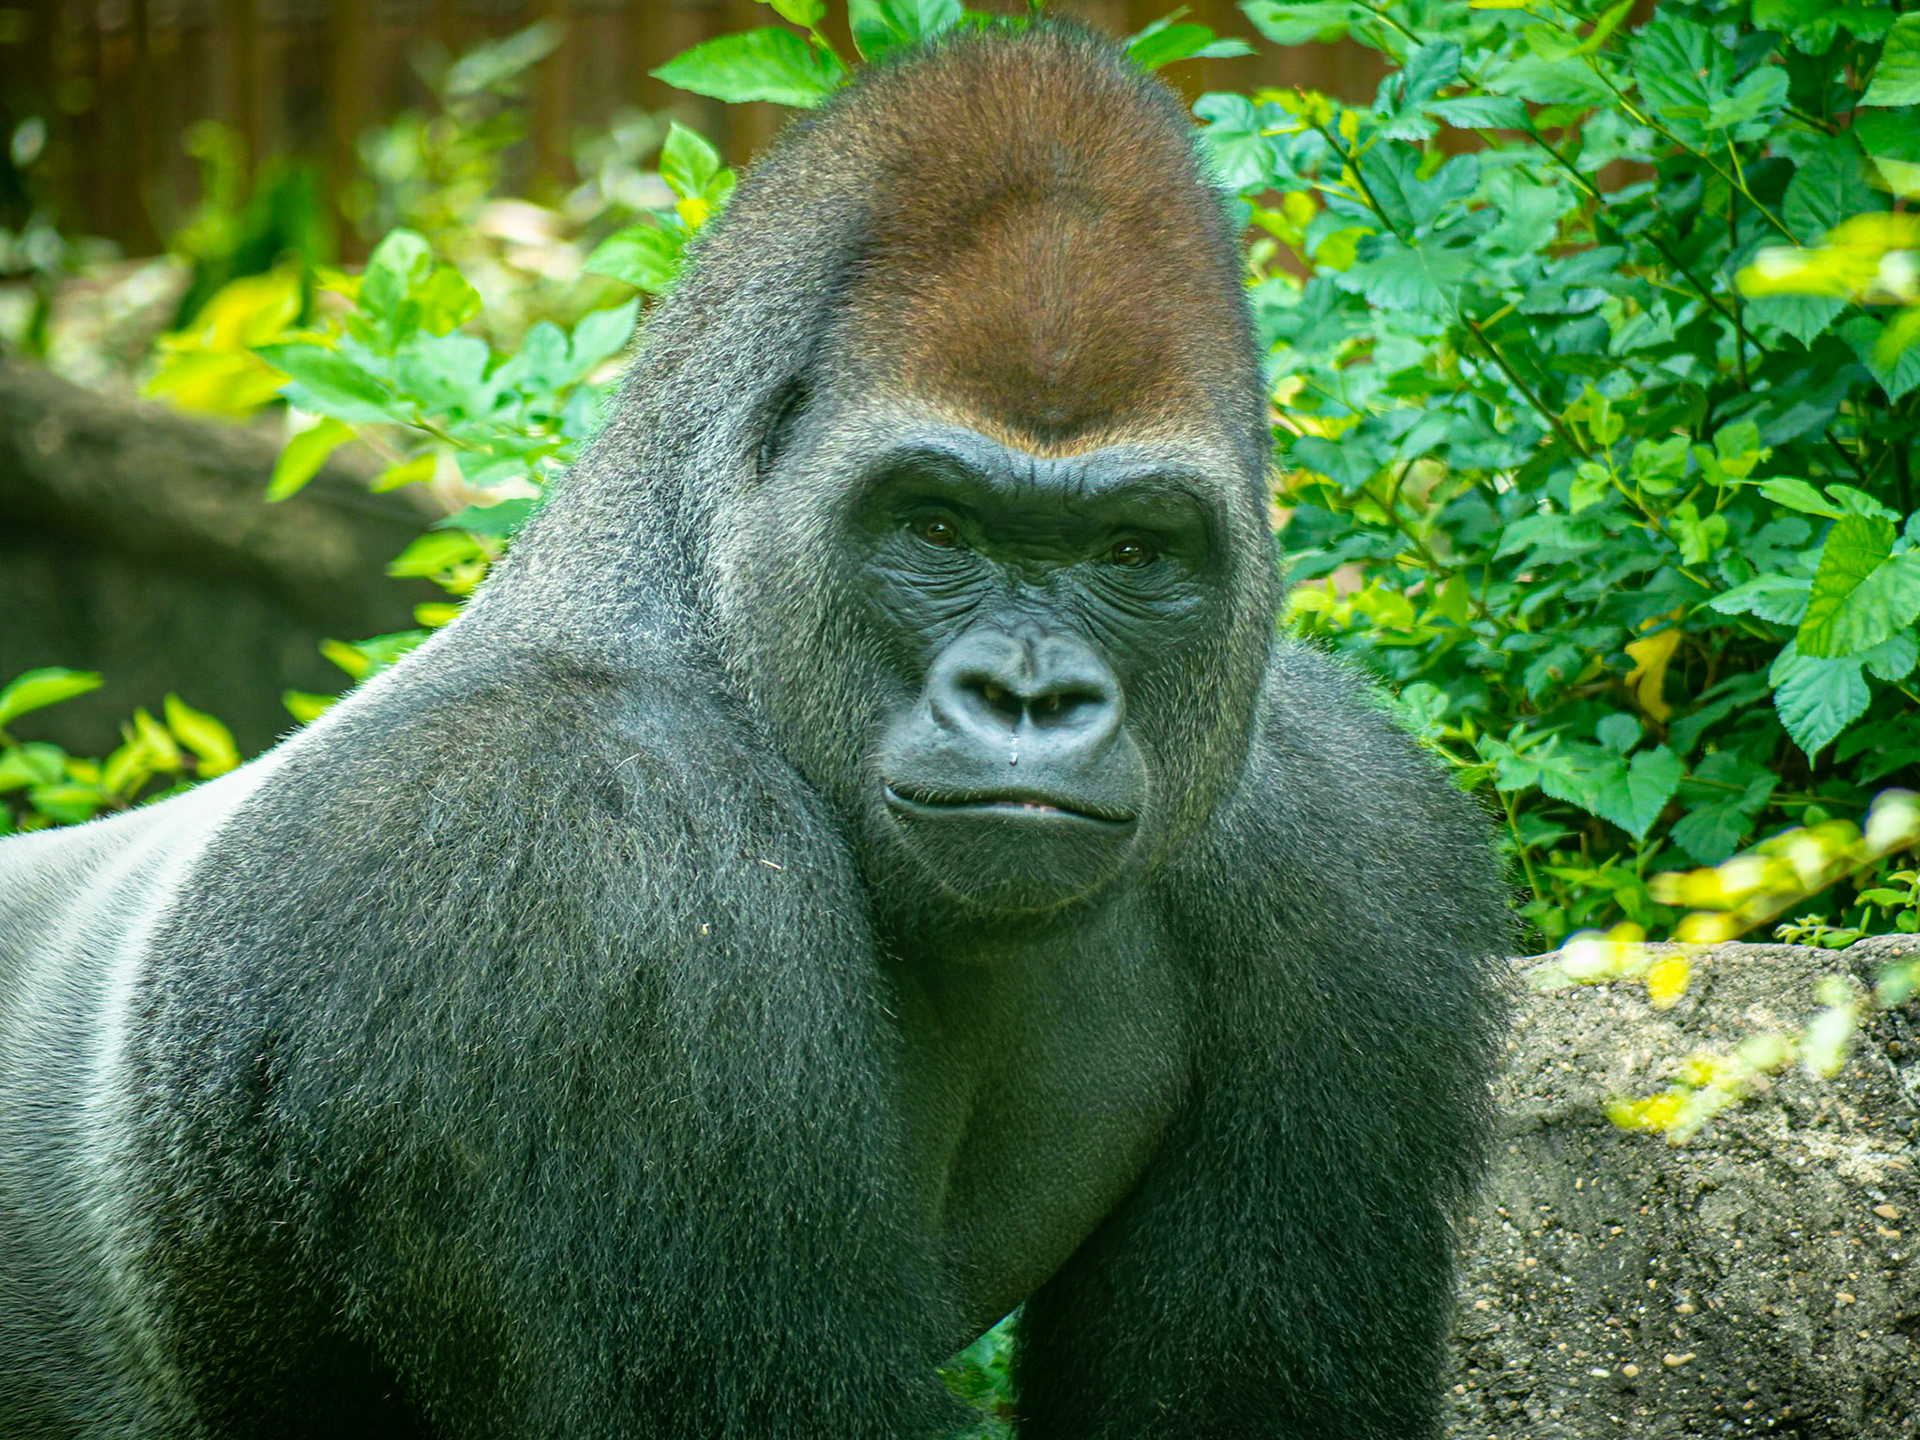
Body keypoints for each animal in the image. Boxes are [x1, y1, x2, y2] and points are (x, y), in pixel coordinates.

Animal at [0, 23, 1510, 1439]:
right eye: (937, 529)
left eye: (1134, 551)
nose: (1030, 698)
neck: (704, 614)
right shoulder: (583, 851)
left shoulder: (1350, 842)